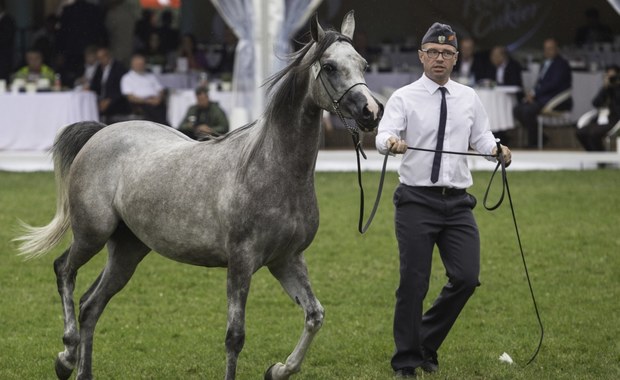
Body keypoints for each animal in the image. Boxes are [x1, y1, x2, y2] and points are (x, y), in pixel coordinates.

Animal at [14, 10, 382, 378]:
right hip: (92, 234)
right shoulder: (241, 263)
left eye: (363, 64)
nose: (372, 112)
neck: (271, 169)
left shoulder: (287, 260)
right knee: (64, 271)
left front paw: (277, 369)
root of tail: (101, 133)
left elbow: (314, 316)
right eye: (330, 67)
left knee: (91, 305)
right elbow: (235, 337)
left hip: (128, 250)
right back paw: (66, 356)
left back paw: (81, 368)